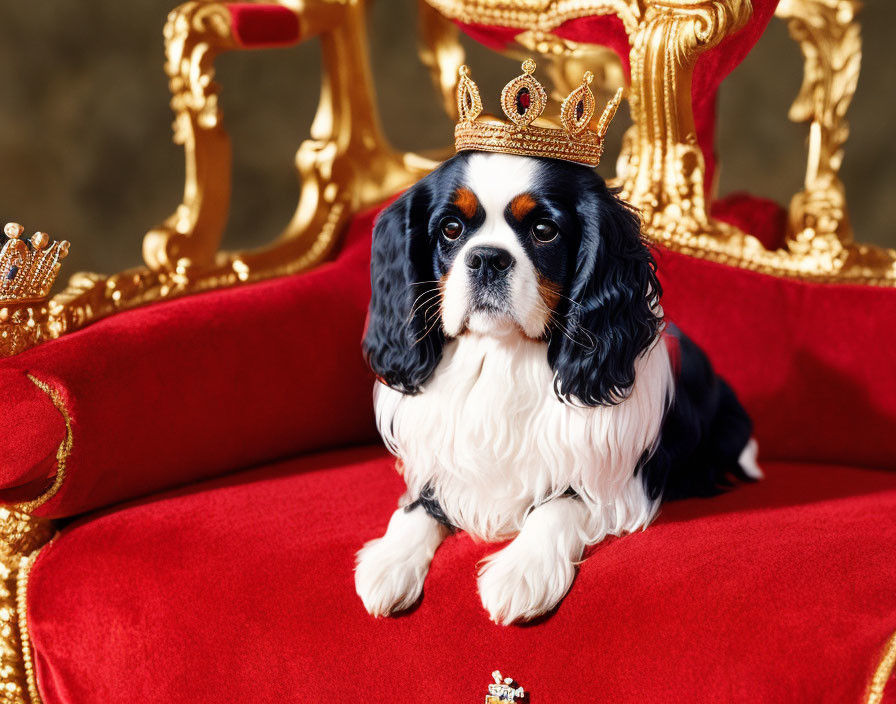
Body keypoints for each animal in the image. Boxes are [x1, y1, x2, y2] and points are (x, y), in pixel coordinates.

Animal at [354, 151, 760, 624]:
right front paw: (390, 560)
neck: (502, 356)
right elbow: (417, 506)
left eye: (544, 231)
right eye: (451, 228)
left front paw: (521, 571)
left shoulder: (619, 484)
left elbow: (559, 504)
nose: (487, 258)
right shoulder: (441, 466)